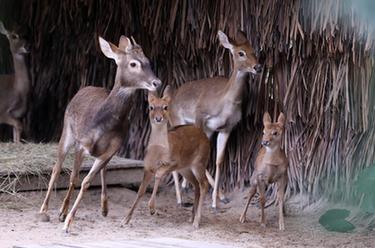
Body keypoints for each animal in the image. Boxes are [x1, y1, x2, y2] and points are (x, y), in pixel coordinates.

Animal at [38, 35, 162, 232]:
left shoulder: (111, 150)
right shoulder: (82, 144)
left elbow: (87, 182)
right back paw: (44, 209)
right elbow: (73, 178)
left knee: (103, 170)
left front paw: (68, 220)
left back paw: (104, 207)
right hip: (67, 131)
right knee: (57, 168)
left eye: (148, 61)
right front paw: (63, 214)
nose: (157, 82)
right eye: (133, 63)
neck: (104, 125)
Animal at [123, 86, 212, 228]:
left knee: (204, 184)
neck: (158, 150)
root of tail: (204, 135)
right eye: (151, 107)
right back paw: (191, 218)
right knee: (196, 185)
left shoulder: (173, 162)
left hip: (199, 163)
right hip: (185, 169)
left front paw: (152, 208)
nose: (158, 118)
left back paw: (196, 222)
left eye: (165, 107)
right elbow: (140, 191)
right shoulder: (147, 167)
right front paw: (126, 219)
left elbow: (159, 175)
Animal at [170, 30, 262, 209]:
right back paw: (180, 197)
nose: (258, 67)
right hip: (178, 121)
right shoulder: (201, 117)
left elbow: (219, 160)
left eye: (254, 50)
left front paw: (218, 200)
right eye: (241, 53)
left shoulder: (226, 128)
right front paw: (216, 200)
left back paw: (186, 187)